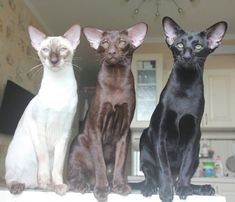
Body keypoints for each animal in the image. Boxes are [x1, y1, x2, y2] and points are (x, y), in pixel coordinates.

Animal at [4, 24, 81, 195]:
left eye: (62, 49)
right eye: (45, 50)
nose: (53, 60)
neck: (59, 86)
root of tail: (30, 183)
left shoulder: (65, 132)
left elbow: (58, 167)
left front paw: (59, 186)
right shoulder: (38, 126)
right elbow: (44, 159)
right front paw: (47, 183)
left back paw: (51, 186)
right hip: (15, 158)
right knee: (8, 179)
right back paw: (21, 186)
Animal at [67, 22, 147, 201]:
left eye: (122, 42)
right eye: (104, 43)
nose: (111, 52)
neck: (116, 79)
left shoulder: (124, 132)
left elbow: (119, 164)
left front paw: (119, 186)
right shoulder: (96, 128)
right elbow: (100, 164)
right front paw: (102, 190)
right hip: (78, 146)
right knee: (72, 178)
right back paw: (85, 186)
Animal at [139, 17, 227, 202]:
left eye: (198, 46)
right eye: (179, 45)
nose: (186, 56)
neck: (185, 88)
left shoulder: (193, 134)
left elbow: (185, 167)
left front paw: (184, 189)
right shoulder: (160, 131)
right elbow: (163, 166)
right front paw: (166, 192)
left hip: (197, 152)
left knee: (180, 175)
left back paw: (201, 188)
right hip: (145, 139)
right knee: (149, 173)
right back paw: (151, 187)